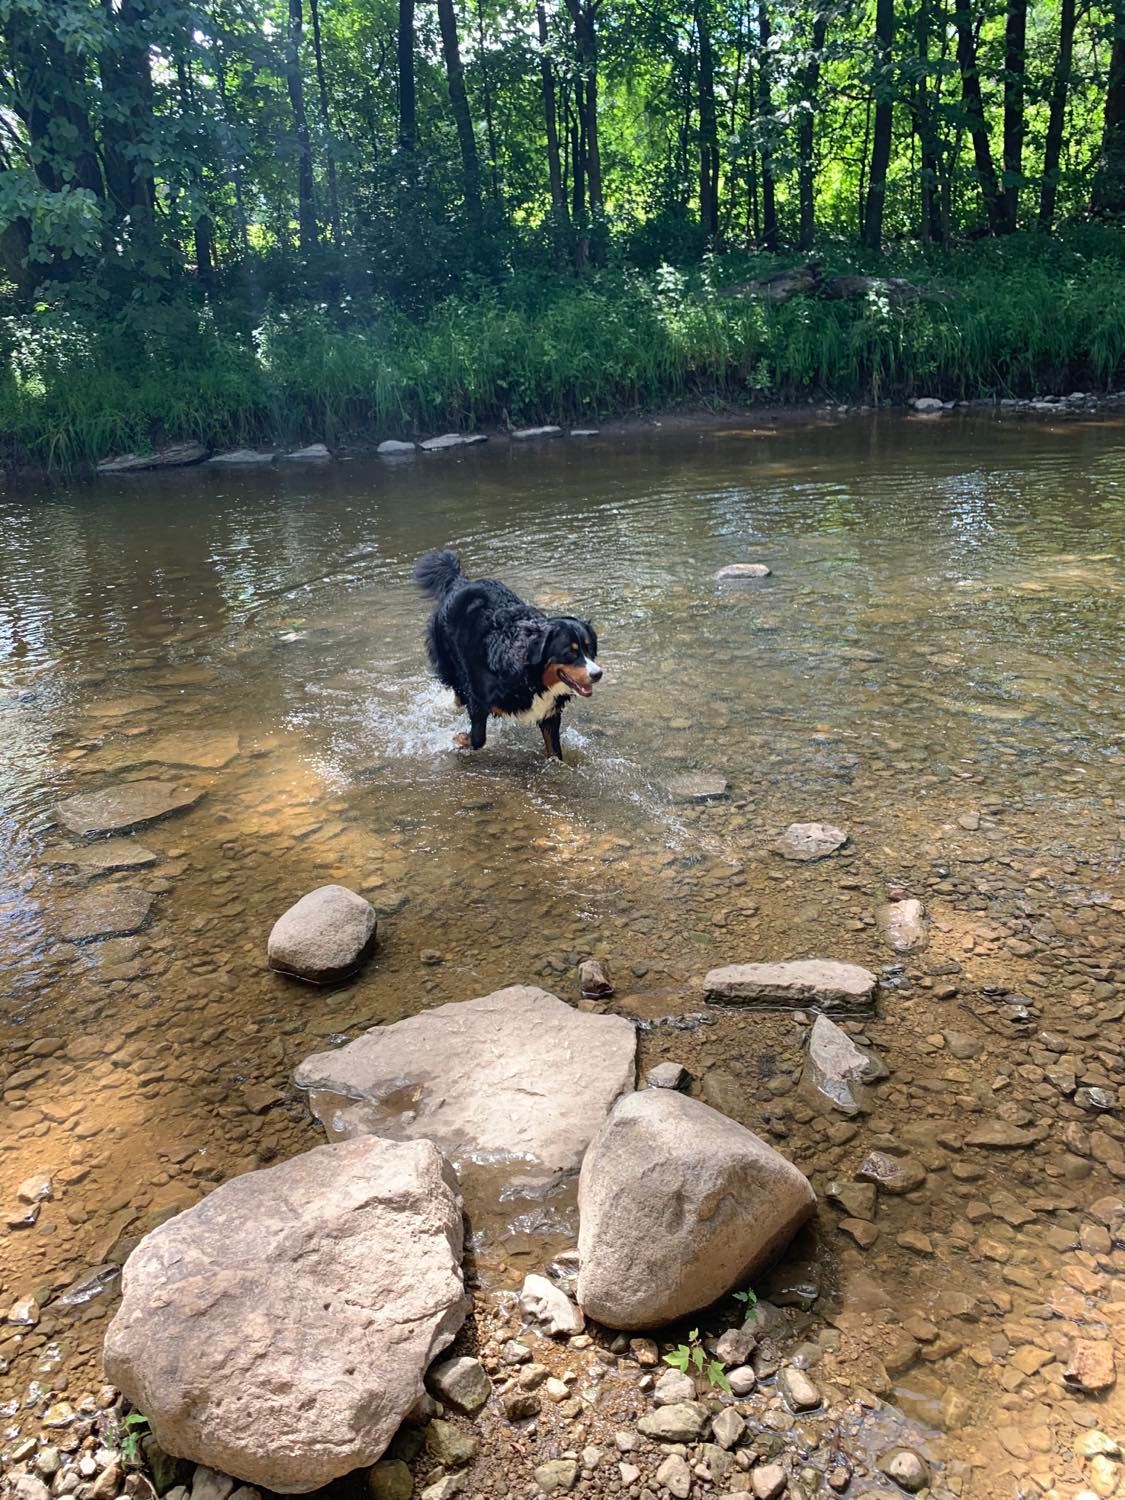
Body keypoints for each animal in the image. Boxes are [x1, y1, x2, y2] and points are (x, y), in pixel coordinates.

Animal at [414, 549, 603, 762]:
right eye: (570, 652)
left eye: (589, 649)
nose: (597, 674)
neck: (531, 677)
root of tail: (459, 581)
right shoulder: (478, 699)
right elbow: (478, 738)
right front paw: (461, 739)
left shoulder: (549, 713)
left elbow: (554, 751)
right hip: (449, 663)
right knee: (458, 692)